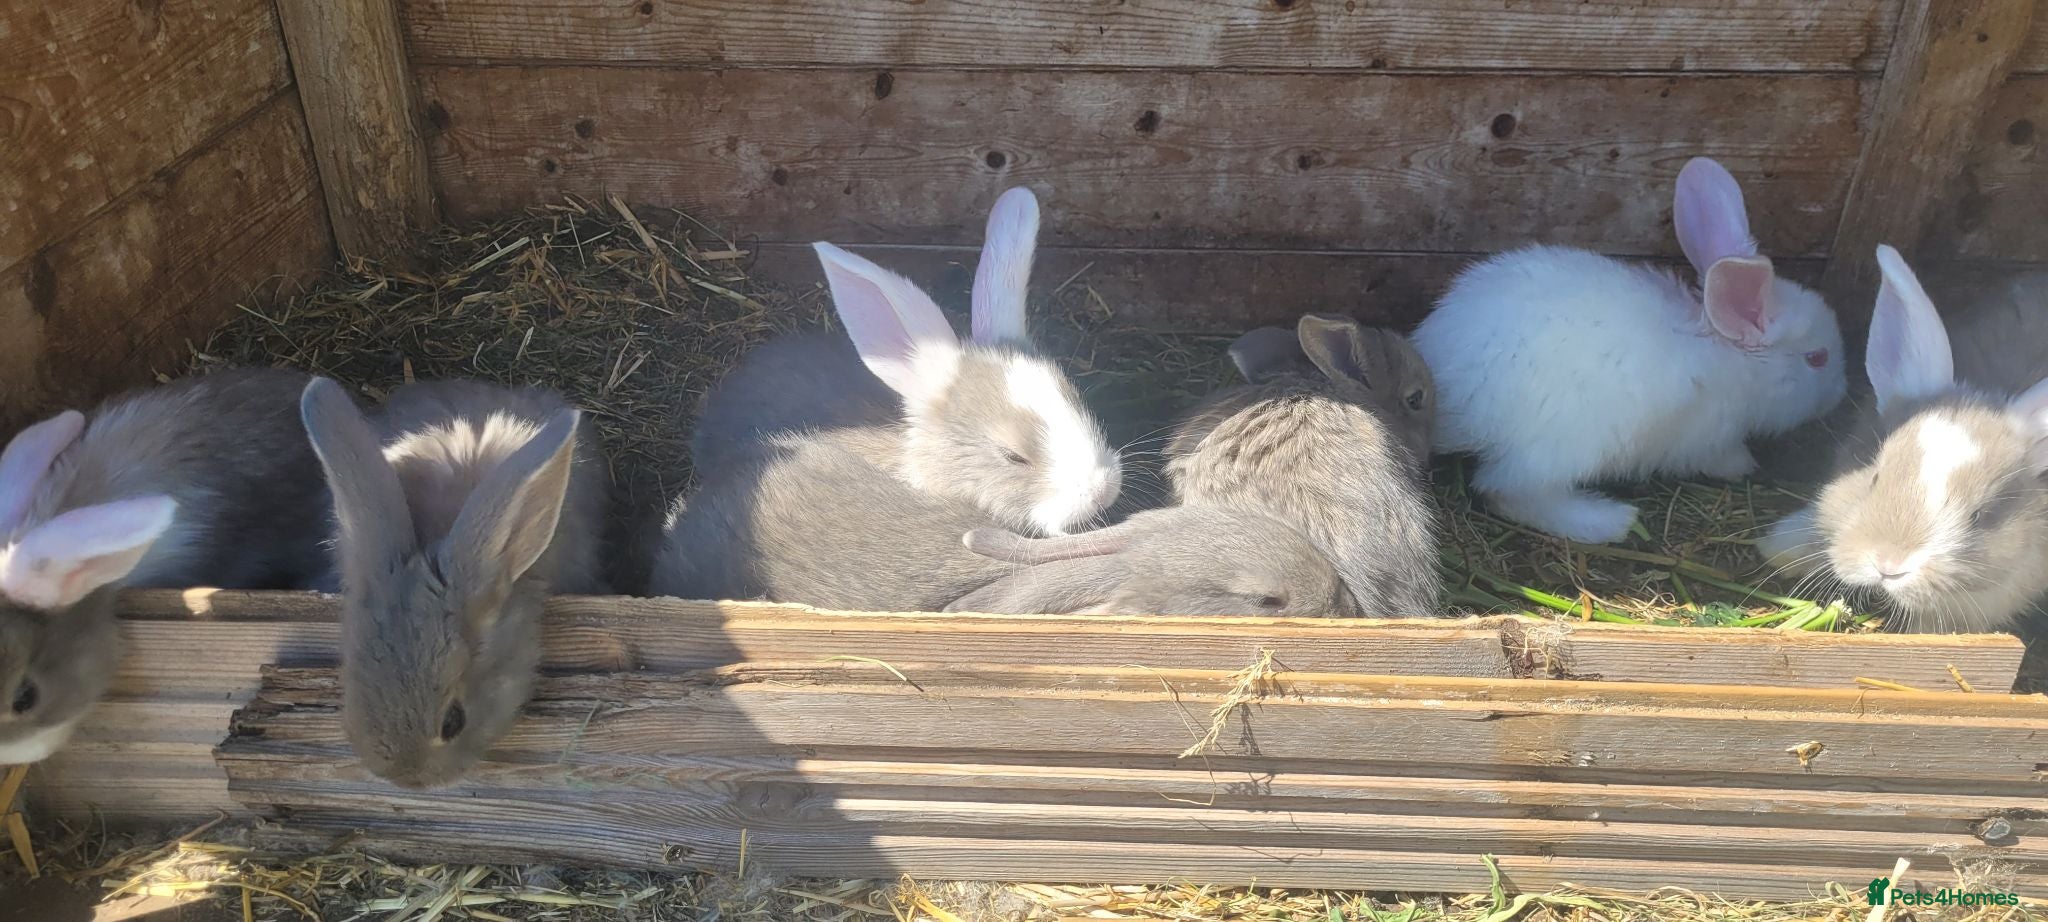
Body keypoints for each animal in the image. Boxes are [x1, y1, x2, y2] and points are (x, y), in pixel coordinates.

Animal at [1409, 157, 1847, 544]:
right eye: (1817, 358)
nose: (1842, 392)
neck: (1724, 352)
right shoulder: (1704, 438)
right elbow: (1719, 457)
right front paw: (1742, 466)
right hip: (1569, 444)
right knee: (1507, 491)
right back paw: (1609, 522)